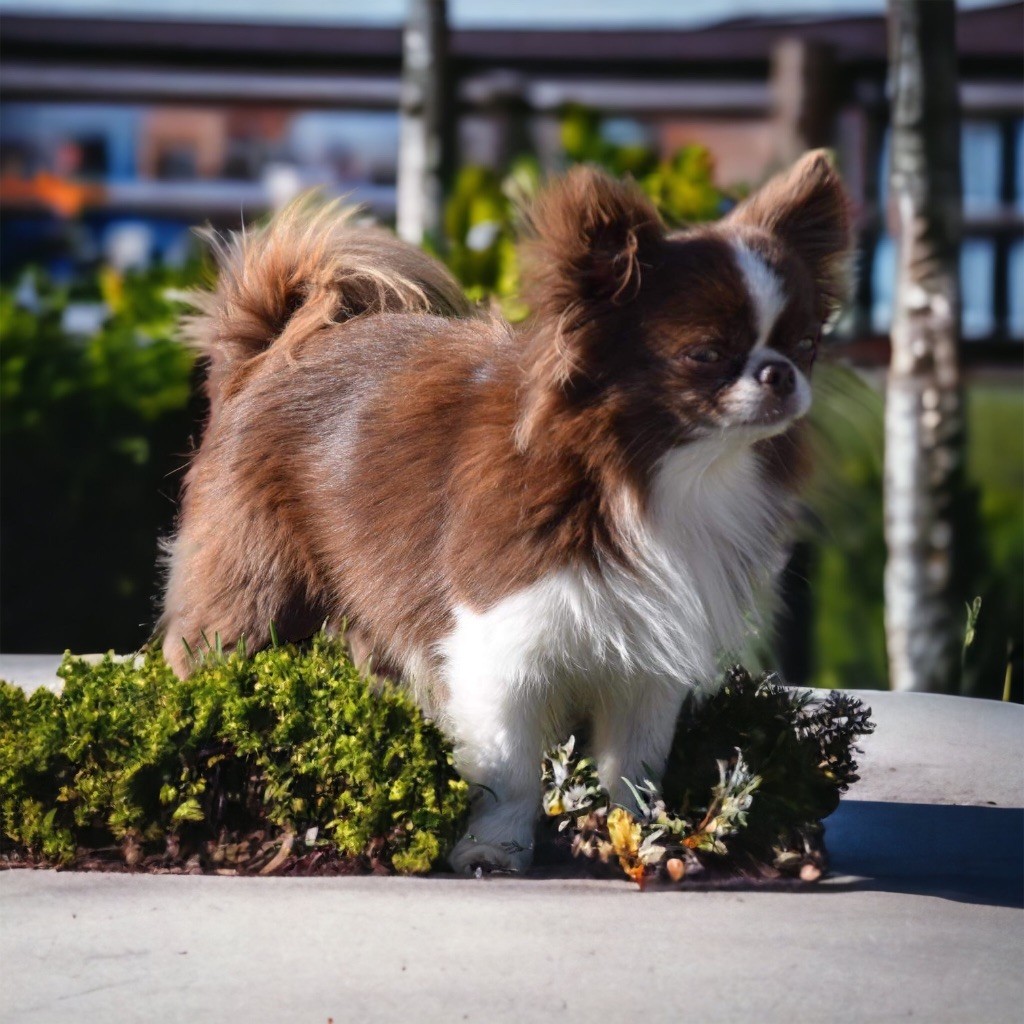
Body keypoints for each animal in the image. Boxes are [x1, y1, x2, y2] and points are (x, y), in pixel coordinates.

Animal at [157, 153, 847, 872]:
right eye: (705, 354)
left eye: (806, 345)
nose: (780, 373)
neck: (643, 477)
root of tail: (262, 357)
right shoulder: (501, 640)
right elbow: (507, 767)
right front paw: (494, 848)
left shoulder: (646, 660)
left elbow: (633, 766)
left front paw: (631, 837)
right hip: (254, 593)